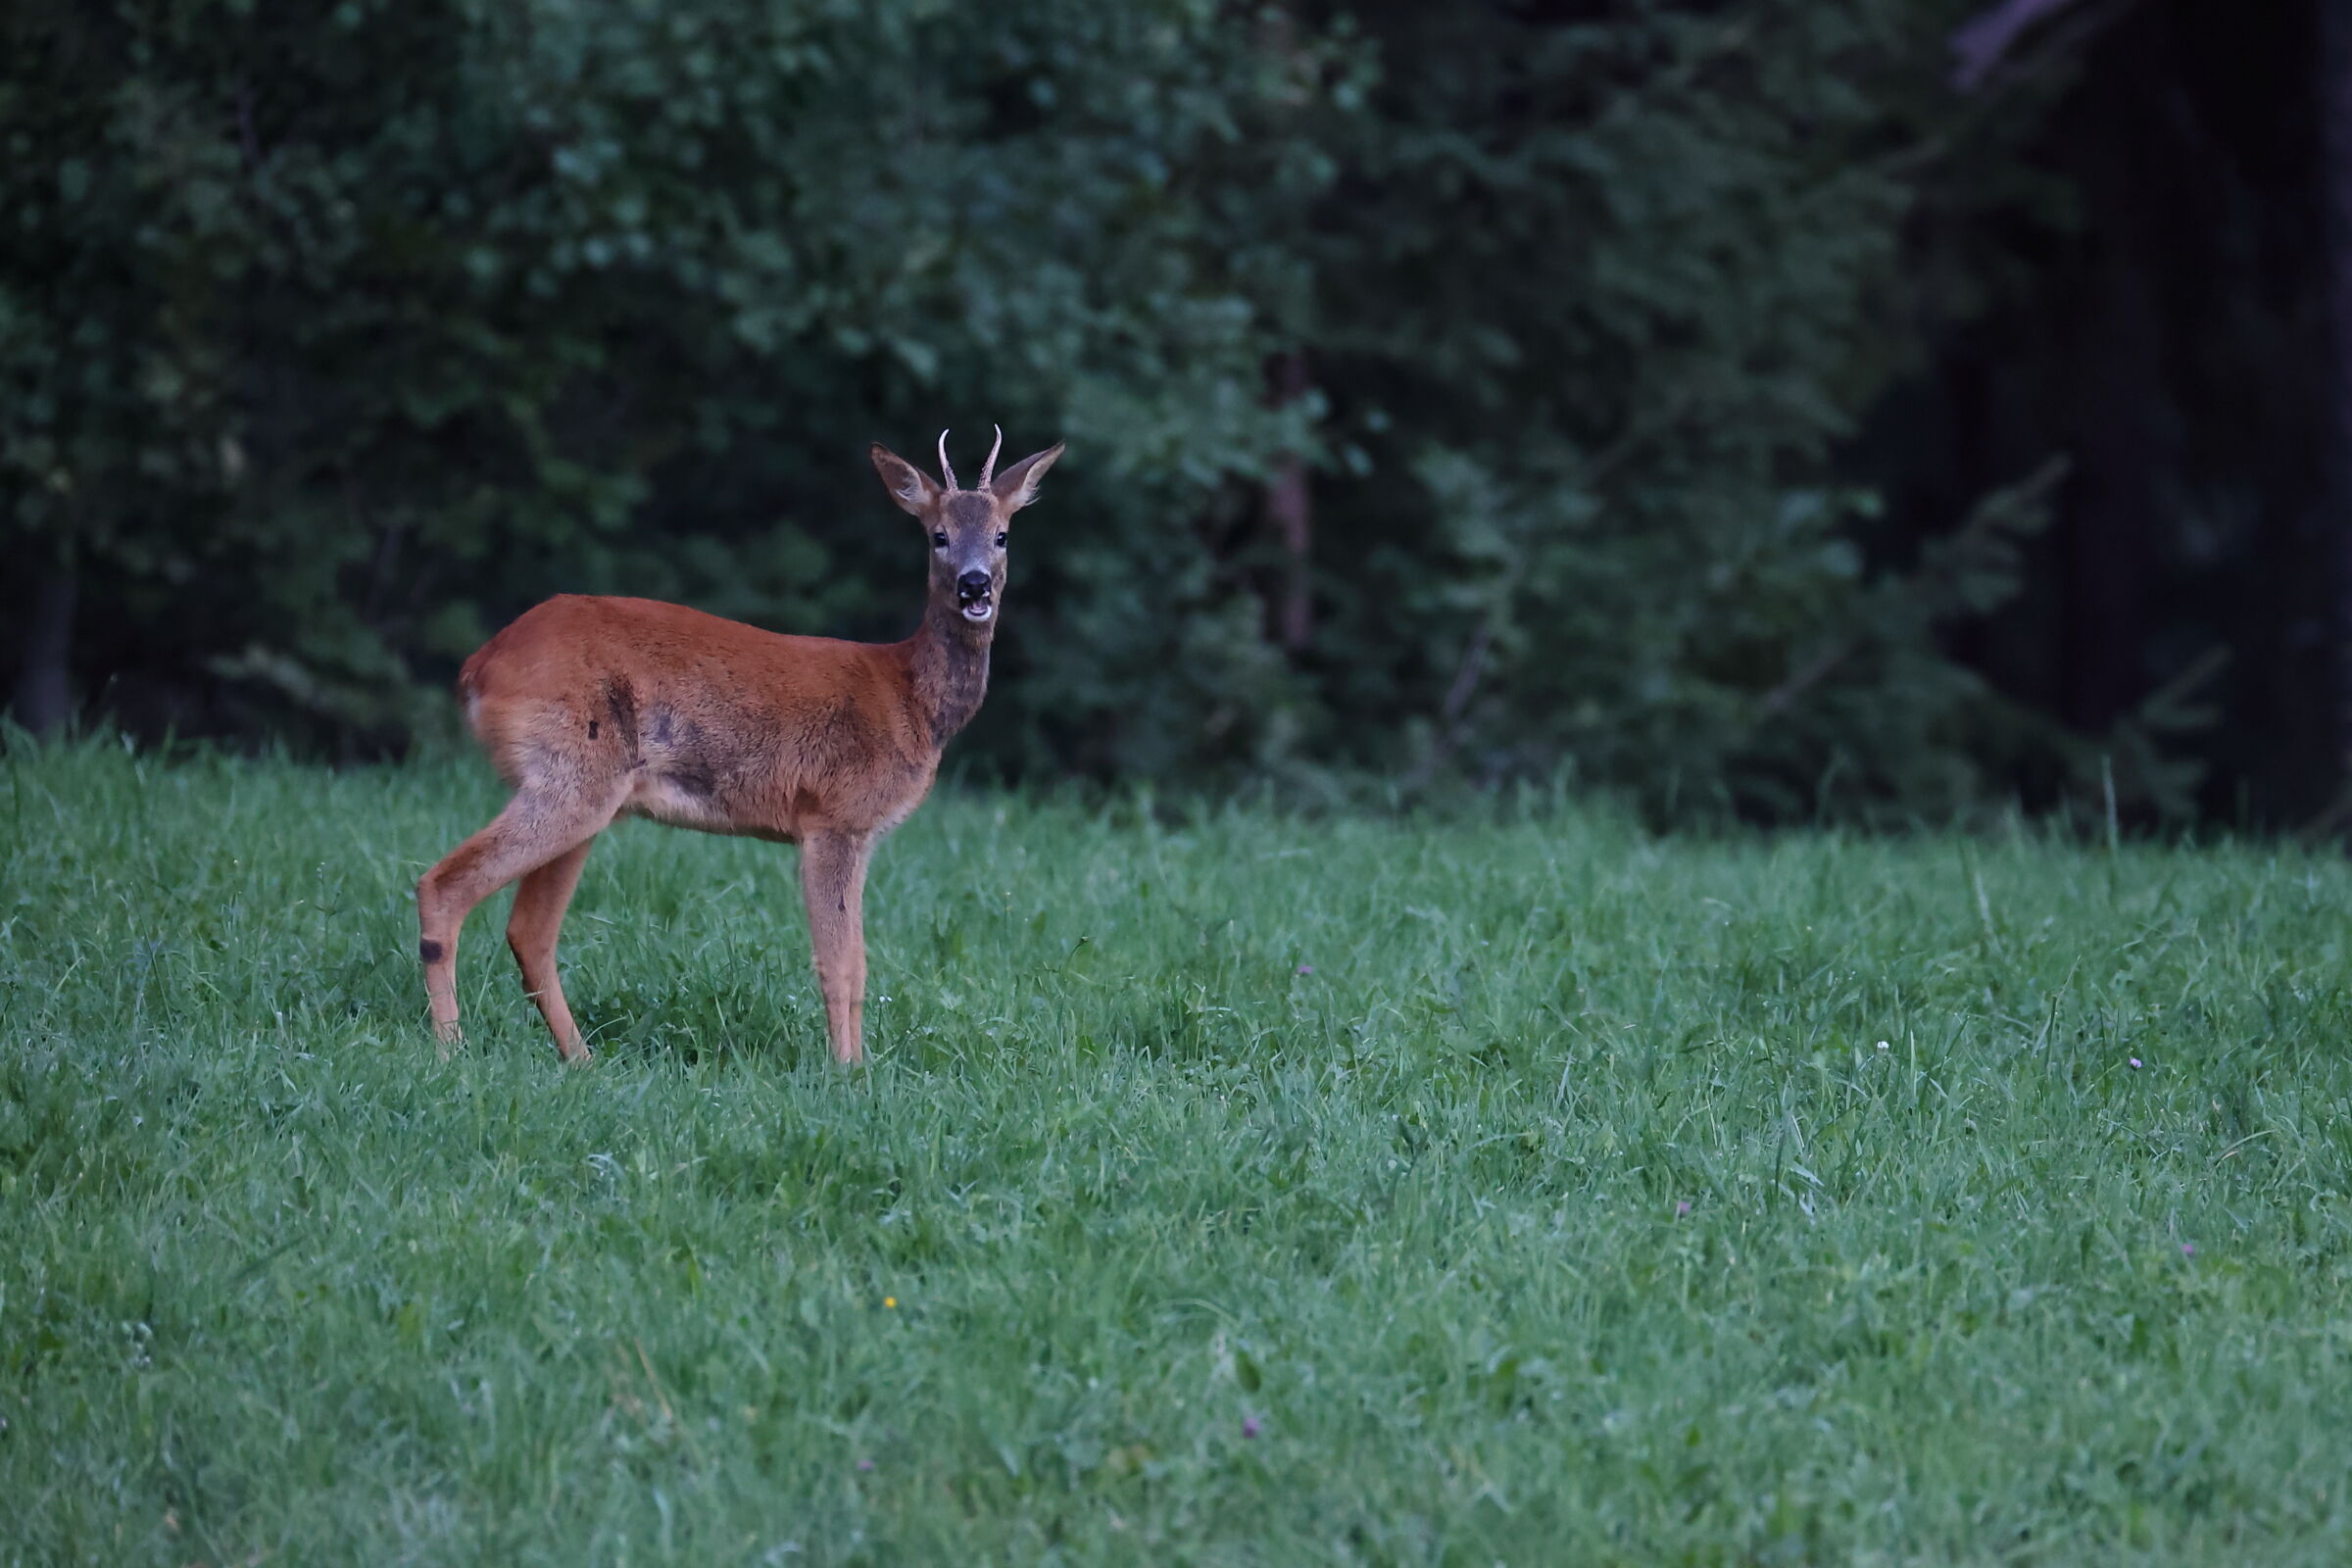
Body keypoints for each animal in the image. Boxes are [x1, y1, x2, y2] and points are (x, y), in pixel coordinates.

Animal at [415, 428, 1063, 1066]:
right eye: (938, 535)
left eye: (1002, 534)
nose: (974, 584)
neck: (910, 698)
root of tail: (479, 668)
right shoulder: (833, 818)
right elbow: (842, 964)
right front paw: (847, 1072)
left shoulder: (856, 832)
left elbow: (858, 961)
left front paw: (857, 1066)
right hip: (570, 772)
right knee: (445, 885)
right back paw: (450, 1052)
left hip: (588, 793)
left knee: (529, 931)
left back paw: (582, 1060)